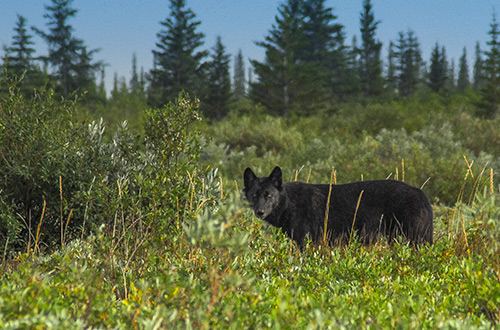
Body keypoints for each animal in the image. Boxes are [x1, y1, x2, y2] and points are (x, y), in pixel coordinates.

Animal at [244, 166, 432, 251]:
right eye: (254, 195)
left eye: (268, 195)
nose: (259, 212)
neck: (290, 203)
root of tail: (420, 192)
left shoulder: (308, 242)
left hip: (414, 239)